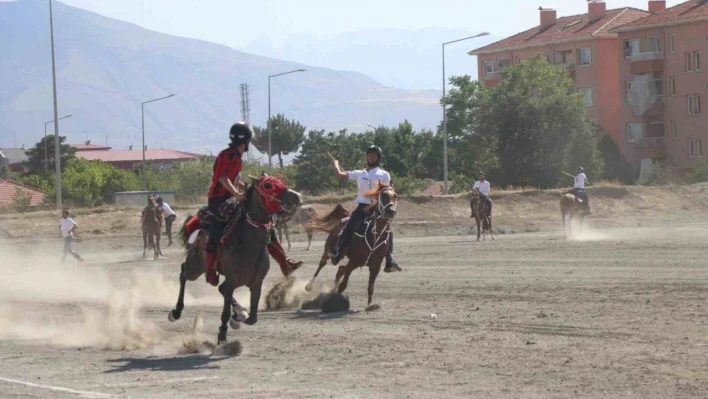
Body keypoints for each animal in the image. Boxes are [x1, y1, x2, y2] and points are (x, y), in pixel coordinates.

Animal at [168, 177, 302, 346]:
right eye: (268, 185)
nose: (296, 196)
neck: (248, 244)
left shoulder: (256, 283)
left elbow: (252, 318)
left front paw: (238, 316)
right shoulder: (232, 281)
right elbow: (225, 312)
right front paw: (223, 334)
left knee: (219, 287)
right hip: (196, 267)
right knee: (184, 273)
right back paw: (176, 311)